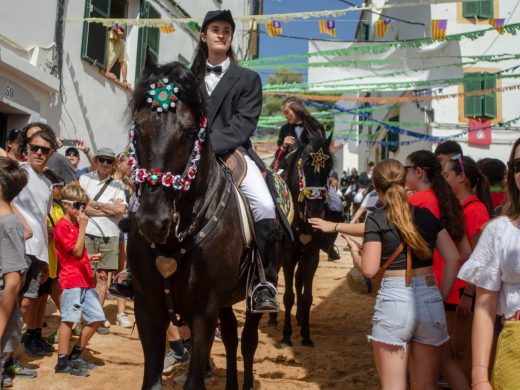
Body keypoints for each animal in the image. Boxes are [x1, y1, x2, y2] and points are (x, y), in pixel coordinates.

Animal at [128, 58, 286, 390]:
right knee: (231, 336)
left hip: (258, 288)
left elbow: (195, 379)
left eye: (190, 131)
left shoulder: (203, 312)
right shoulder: (147, 306)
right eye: (139, 126)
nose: (153, 221)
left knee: (248, 341)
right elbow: (152, 381)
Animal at [268, 135, 334, 348]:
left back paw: (299, 317)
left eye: (328, 167)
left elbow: (307, 296)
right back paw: (272, 318)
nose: (315, 210)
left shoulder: (312, 256)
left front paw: (306, 335)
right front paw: (286, 336)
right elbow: (288, 296)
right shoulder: (288, 256)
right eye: (304, 165)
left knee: (299, 281)